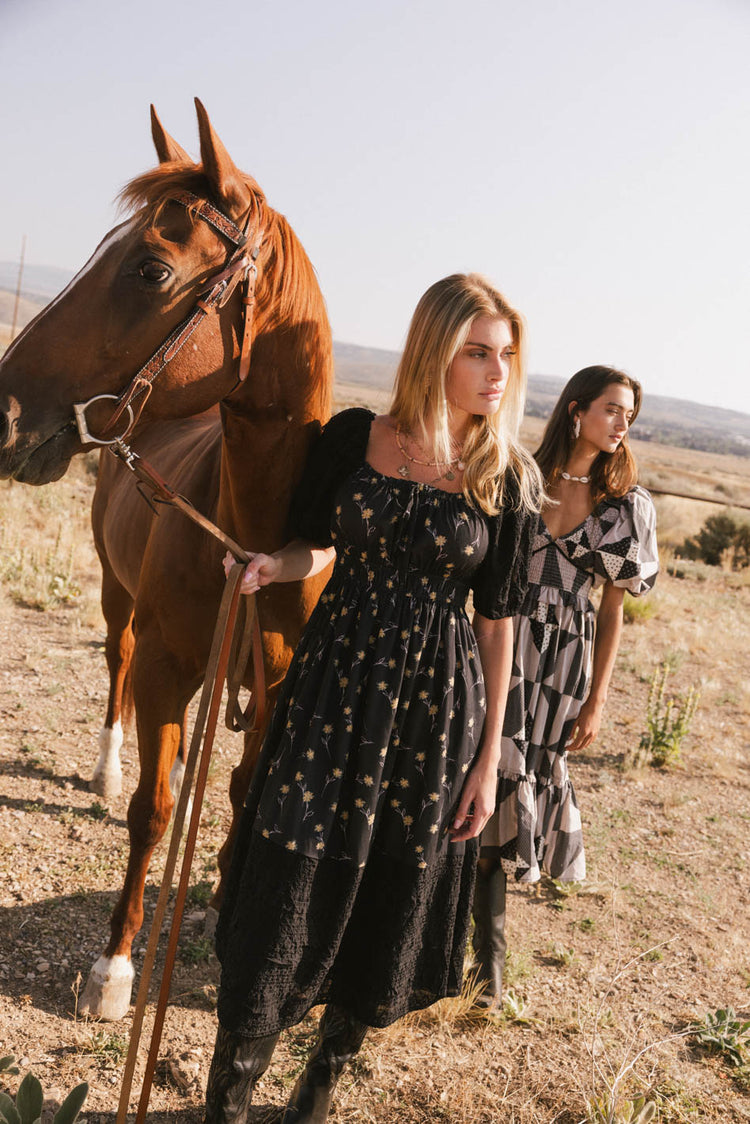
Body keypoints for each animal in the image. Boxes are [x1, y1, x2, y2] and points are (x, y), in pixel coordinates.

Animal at [0, 103, 330, 1020]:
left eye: (150, 269)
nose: (2, 412)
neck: (257, 539)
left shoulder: (280, 688)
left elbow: (245, 794)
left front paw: (224, 904)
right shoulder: (165, 664)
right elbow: (153, 811)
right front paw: (113, 967)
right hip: (119, 602)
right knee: (116, 668)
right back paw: (109, 767)